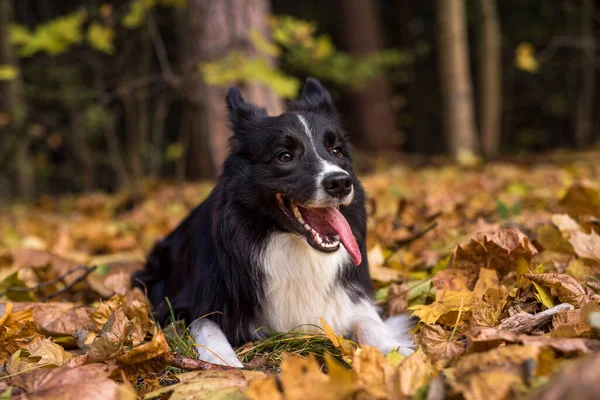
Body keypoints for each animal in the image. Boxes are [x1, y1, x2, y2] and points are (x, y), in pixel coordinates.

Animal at [132, 76, 414, 368]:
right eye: (285, 156)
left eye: (337, 152)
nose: (340, 183)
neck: (289, 243)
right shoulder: (181, 304)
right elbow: (207, 326)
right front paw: (225, 365)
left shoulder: (349, 300)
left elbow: (370, 322)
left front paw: (396, 350)